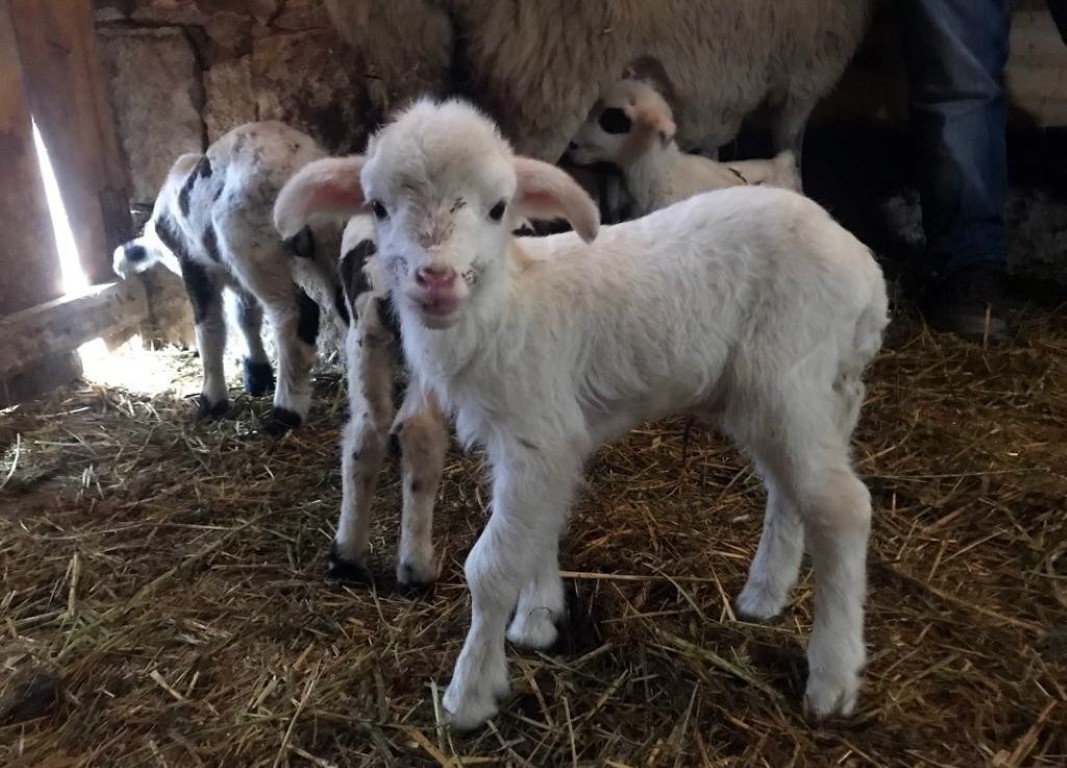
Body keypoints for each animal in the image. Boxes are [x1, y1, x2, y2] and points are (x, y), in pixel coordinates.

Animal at [271, 99, 887, 729]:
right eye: (377, 205)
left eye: (499, 208)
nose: (435, 280)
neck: (506, 307)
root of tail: (866, 274)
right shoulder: (534, 444)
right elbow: (538, 528)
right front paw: (537, 618)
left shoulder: (538, 435)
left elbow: (491, 566)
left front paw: (469, 694)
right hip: (793, 395)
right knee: (791, 489)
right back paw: (764, 595)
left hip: (789, 378)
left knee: (844, 508)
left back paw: (833, 678)